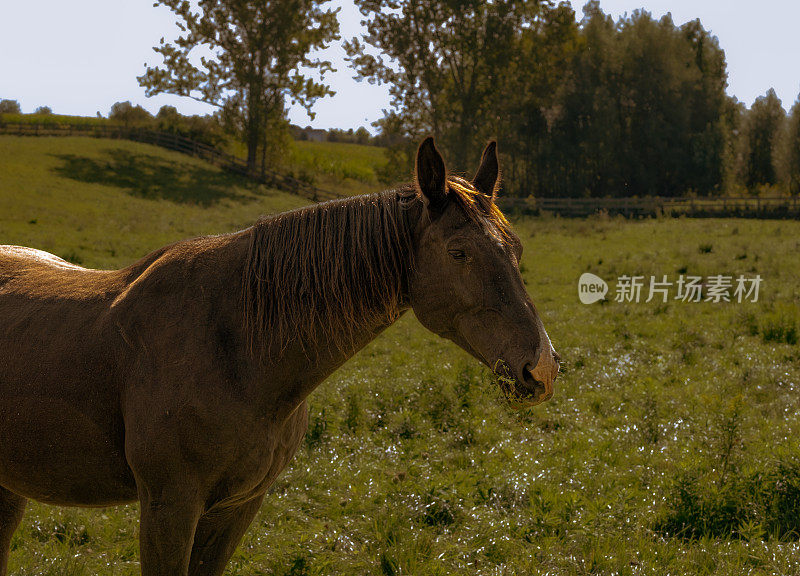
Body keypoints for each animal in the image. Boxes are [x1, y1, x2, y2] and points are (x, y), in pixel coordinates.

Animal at [0, 140, 560, 576]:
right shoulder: (168, 506)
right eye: (460, 253)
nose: (542, 367)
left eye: (516, 248)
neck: (235, 348)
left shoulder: (237, 507)